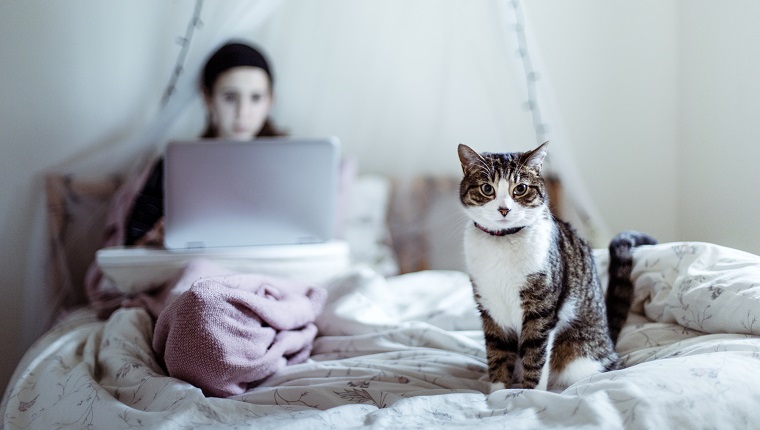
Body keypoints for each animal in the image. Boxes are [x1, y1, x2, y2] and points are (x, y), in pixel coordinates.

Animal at [454, 143, 656, 392]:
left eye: (520, 189)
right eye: (486, 189)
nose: (504, 209)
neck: (503, 243)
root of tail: (609, 341)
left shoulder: (541, 308)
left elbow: (535, 354)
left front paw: (528, 394)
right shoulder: (491, 307)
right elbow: (497, 353)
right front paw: (497, 393)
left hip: (578, 357)